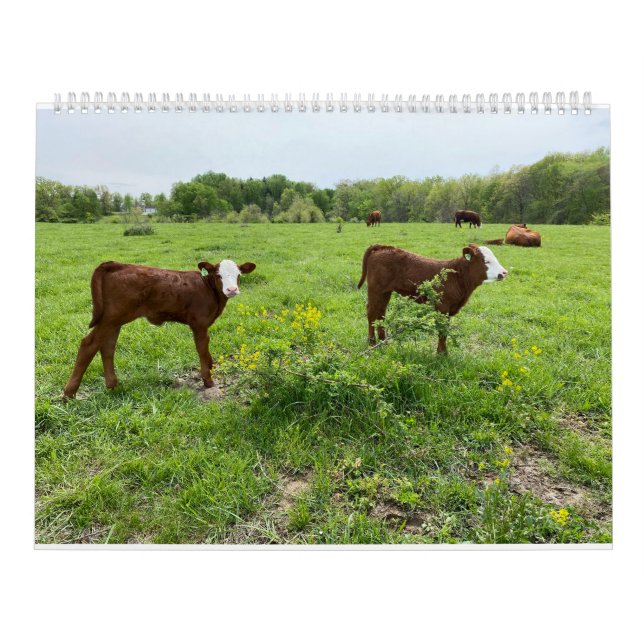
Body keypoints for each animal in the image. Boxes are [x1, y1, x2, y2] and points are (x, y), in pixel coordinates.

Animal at [63, 259, 256, 398]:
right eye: (218, 275)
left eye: (238, 275)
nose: (232, 289)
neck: (209, 291)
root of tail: (116, 264)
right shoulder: (199, 323)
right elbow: (202, 349)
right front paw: (208, 380)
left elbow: (207, 351)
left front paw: (210, 366)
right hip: (111, 318)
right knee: (89, 344)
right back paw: (69, 393)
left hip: (114, 320)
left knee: (107, 347)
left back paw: (112, 385)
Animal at [357, 243, 507, 352]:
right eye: (486, 261)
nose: (504, 272)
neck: (457, 277)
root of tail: (384, 247)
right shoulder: (443, 307)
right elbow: (442, 330)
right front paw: (442, 354)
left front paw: (442, 352)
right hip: (375, 290)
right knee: (371, 313)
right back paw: (372, 343)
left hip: (385, 292)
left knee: (380, 313)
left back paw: (384, 343)